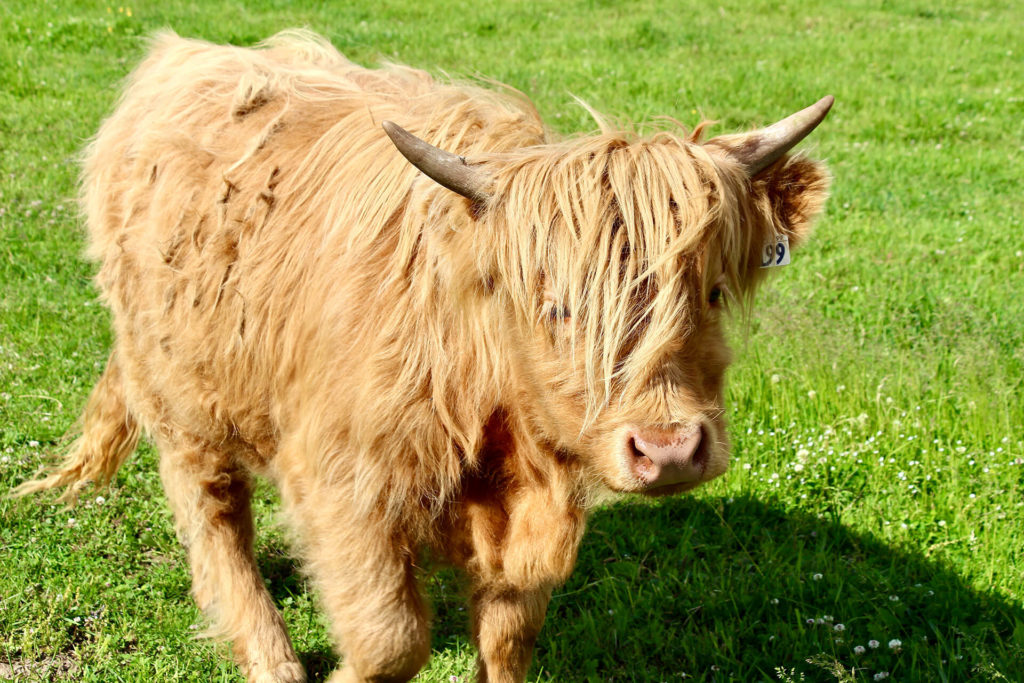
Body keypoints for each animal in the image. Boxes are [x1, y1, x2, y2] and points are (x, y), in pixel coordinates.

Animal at [16, 30, 831, 683]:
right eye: (556, 306)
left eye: (713, 292)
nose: (668, 449)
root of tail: (183, 53)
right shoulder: (342, 485)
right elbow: (390, 640)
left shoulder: (531, 519)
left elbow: (508, 639)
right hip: (183, 391)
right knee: (214, 516)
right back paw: (272, 658)